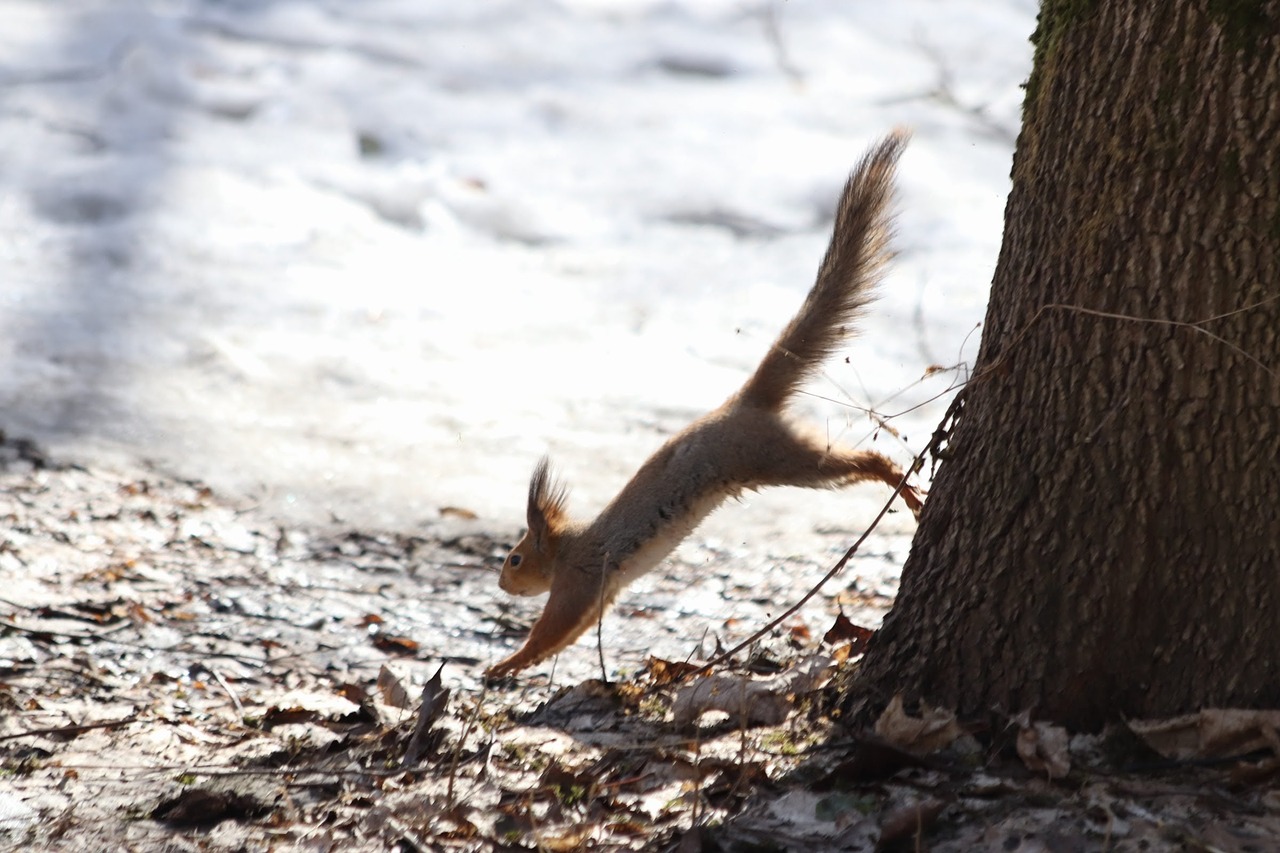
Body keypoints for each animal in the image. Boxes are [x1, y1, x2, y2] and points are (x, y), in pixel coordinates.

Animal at [486, 131, 921, 676]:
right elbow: (573, 633)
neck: (570, 548)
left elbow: (551, 629)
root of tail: (741, 402)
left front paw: (507, 663)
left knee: (860, 460)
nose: (502, 583)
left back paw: (901, 483)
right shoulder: (602, 594)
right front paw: (521, 664)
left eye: (516, 557)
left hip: (779, 458)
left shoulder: (579, 579)